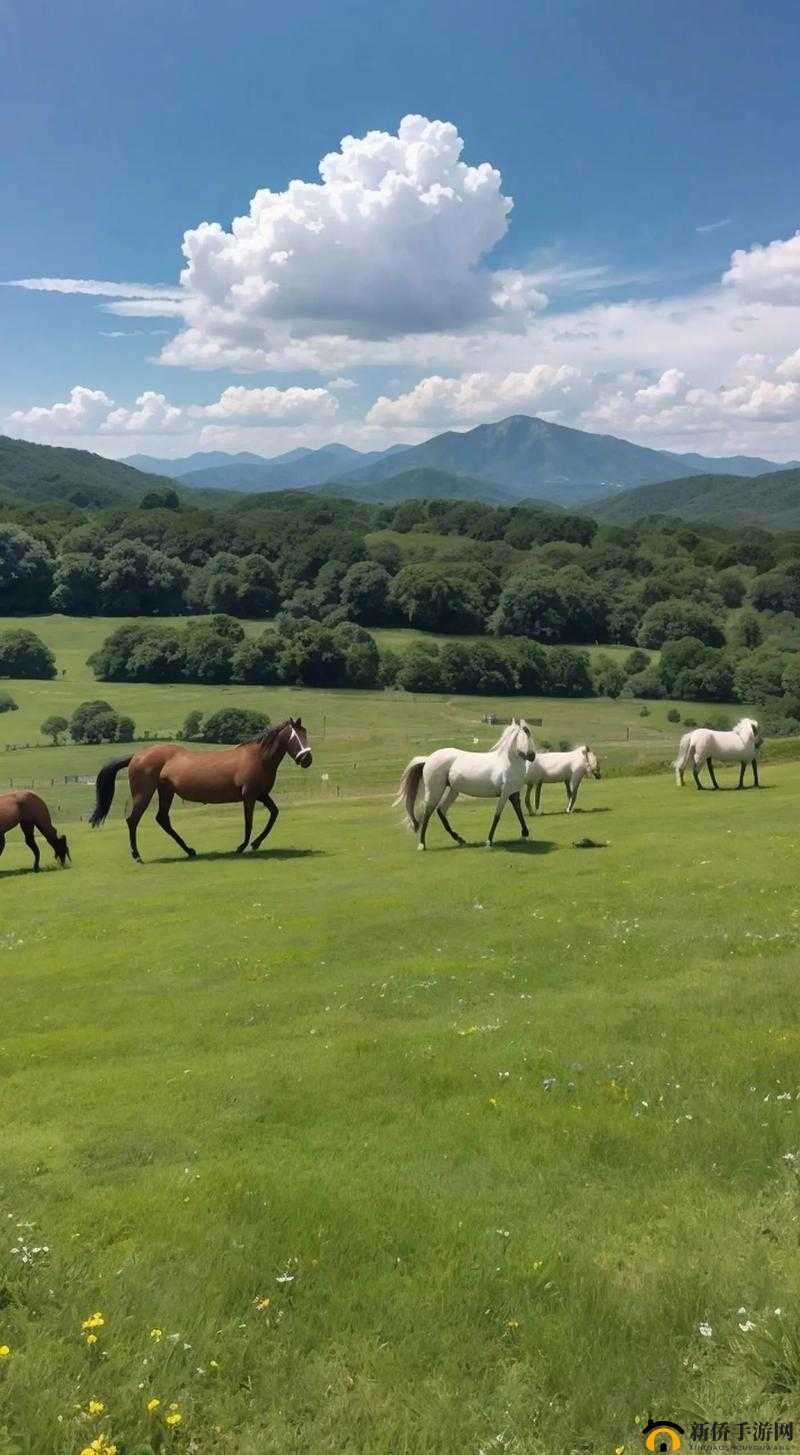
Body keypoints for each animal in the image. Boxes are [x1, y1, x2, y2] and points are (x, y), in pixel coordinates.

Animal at [89, 718, 312, 862]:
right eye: (293, 736)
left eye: (305, 733)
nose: (307, 759)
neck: (257, 757)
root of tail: (136, 755)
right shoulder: (249, 796)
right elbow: (248, 823)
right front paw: (242, 846)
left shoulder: (261, 795)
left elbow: (274, 813)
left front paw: (256, 843)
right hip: (144, 793)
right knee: (133, 820)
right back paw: (137, 856)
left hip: (166, 792)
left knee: (162, 819)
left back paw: (189, 850)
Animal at [394, 718, 537, 850]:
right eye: (521, 736)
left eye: (529, 735)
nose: (532, 756)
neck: (507, 762)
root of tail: (428, 759)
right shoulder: (505, 793)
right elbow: (497, 816)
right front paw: (489, 841)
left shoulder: (513, 792)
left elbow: (518, 811)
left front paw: (525, 834)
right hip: (435, 791)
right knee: (427, 813)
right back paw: (422, 845)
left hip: (453, 791)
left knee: (441, 810)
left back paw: (460, 839)